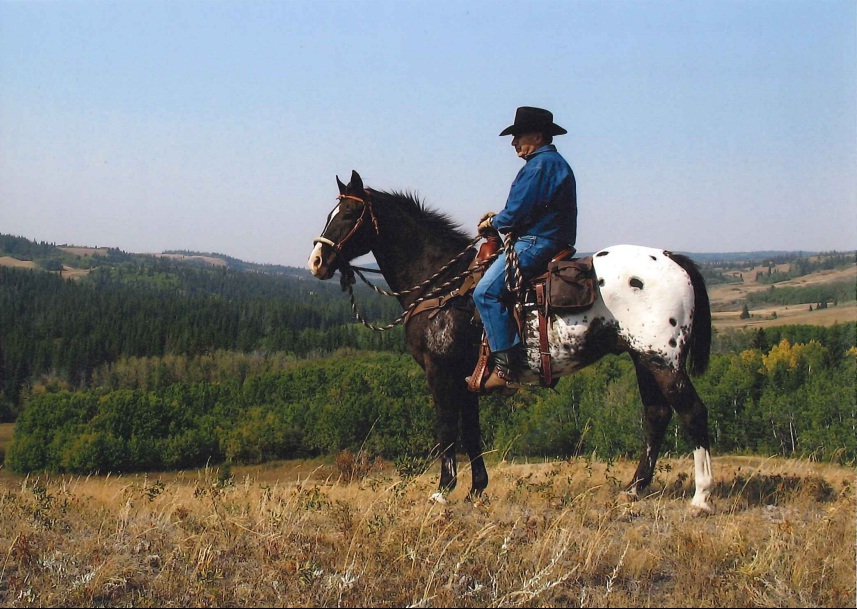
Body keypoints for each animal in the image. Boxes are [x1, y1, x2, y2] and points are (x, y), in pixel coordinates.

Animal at [308, 170, 715, 513]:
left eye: (348, 214)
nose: (316, 261)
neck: (442, 286)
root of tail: (672, 259)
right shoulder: (466, 377)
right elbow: (471, 432)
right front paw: (476, 489)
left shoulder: (441, 373)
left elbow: (446, 428)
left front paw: (442, 491)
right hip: (642, 358)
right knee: (657, 414)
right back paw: (635, 488)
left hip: (663, 360)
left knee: (692, 412)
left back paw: (701, 497)